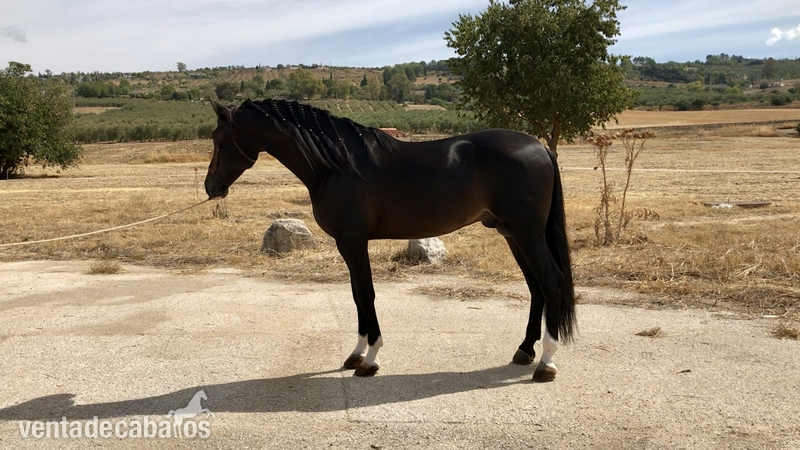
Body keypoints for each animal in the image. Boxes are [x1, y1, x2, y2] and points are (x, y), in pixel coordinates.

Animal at [204, 99, 576, 382]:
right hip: (512, 234)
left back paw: (547, 362)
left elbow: (365, 293)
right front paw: (356, 354)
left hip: (526, 233)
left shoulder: (353, 241)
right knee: (536, 287)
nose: (212, 187)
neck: (335, 164)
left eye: (218, 138)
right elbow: (356, 295)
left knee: (551, 282)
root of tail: (541, 146)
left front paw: (370, 359)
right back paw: (525, 350)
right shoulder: (349, 244)